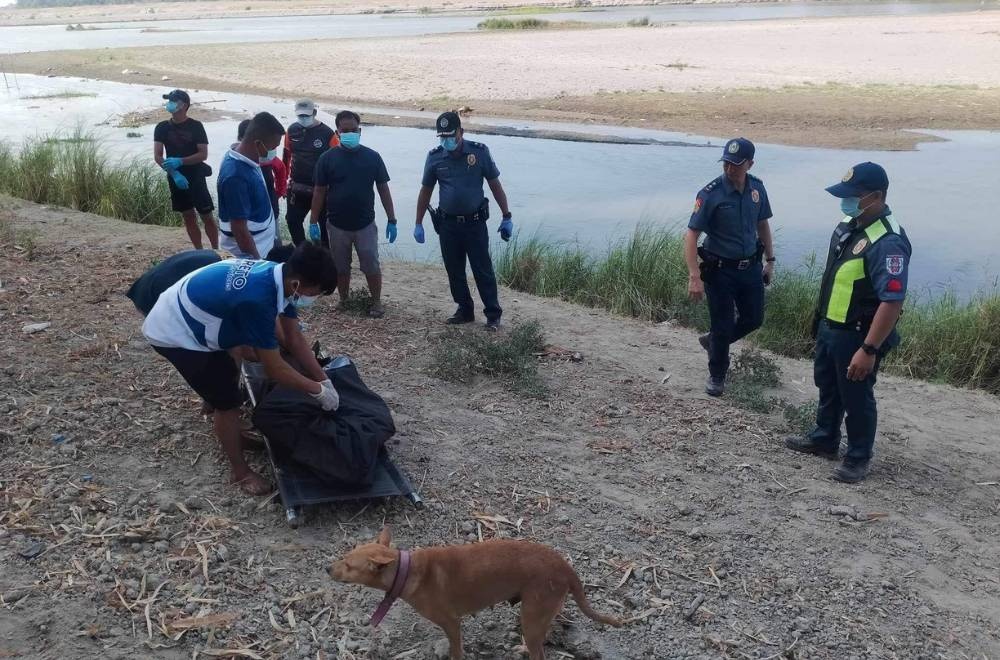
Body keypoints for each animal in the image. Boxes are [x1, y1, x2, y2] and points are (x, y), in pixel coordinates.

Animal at [332, 524, 620, 660]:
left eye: (348, 565)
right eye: (345, 557)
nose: (327, 569)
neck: (407, 570)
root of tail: (565, 567)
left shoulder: (451, 622)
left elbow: (456, 650)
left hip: (532, 615)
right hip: (537, 615)